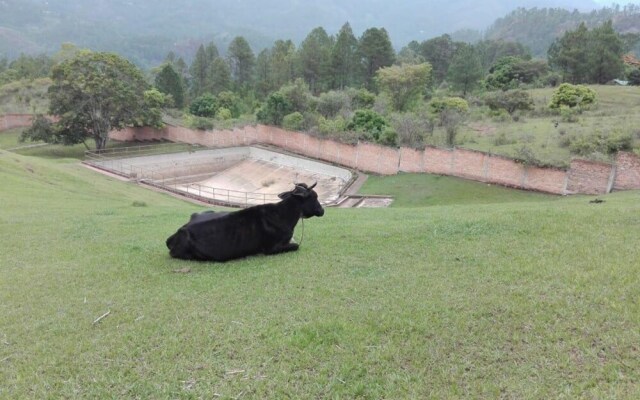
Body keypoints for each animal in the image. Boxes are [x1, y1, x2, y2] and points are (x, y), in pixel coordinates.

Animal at [165, 182, 324, 262]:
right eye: (314, 197)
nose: (322, 210)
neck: (284, 214)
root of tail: (178, 233)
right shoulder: (271, 248)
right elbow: (296, 245)